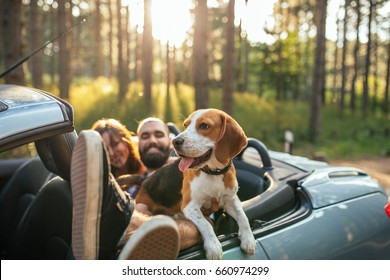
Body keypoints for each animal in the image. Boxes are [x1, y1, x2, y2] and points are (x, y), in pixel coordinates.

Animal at [136, 109, 258, 258]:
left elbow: (243, 217)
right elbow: (205, 224)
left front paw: (248, 239)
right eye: (185, 125)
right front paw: (213, 246)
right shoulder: (190, 206)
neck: (214, 173)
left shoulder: (231, 200)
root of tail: (145, 182)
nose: (175, 141)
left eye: (204, 126)